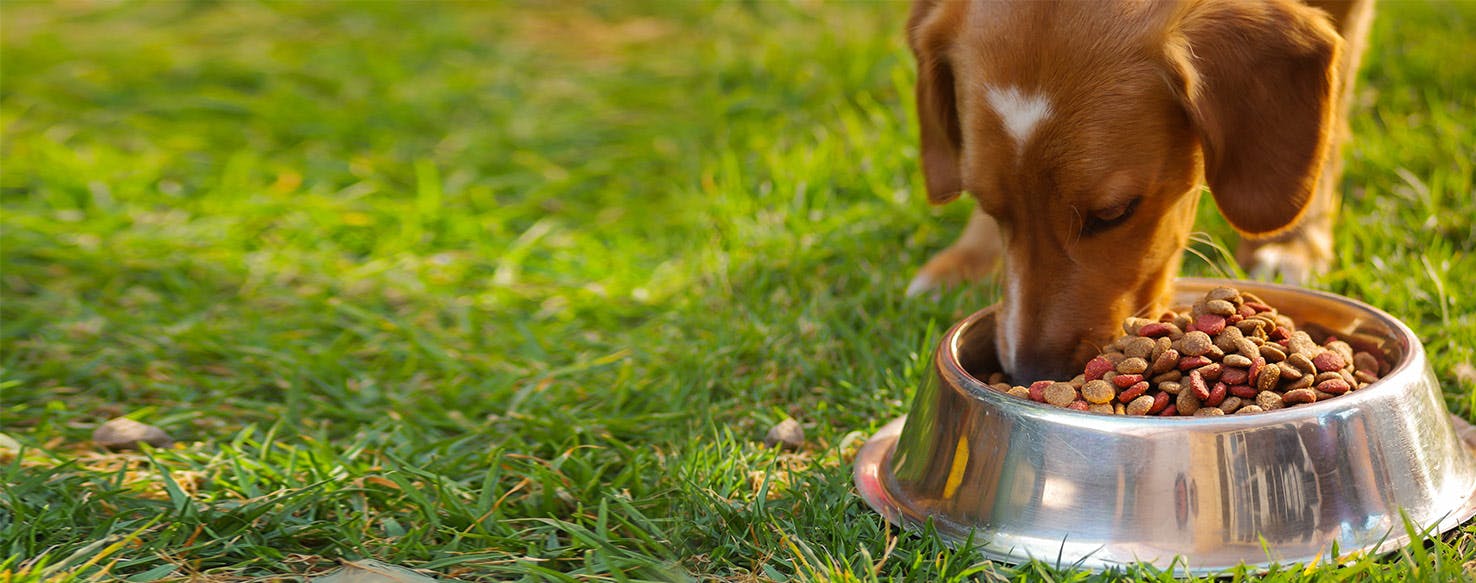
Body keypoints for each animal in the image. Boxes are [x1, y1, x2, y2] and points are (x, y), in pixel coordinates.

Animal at [903, 0, 1375, 383]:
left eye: (1113, 213)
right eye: (987, 205)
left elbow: (1333, 110)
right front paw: (969, 259)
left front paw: (1294, 242)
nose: (1029, 374)